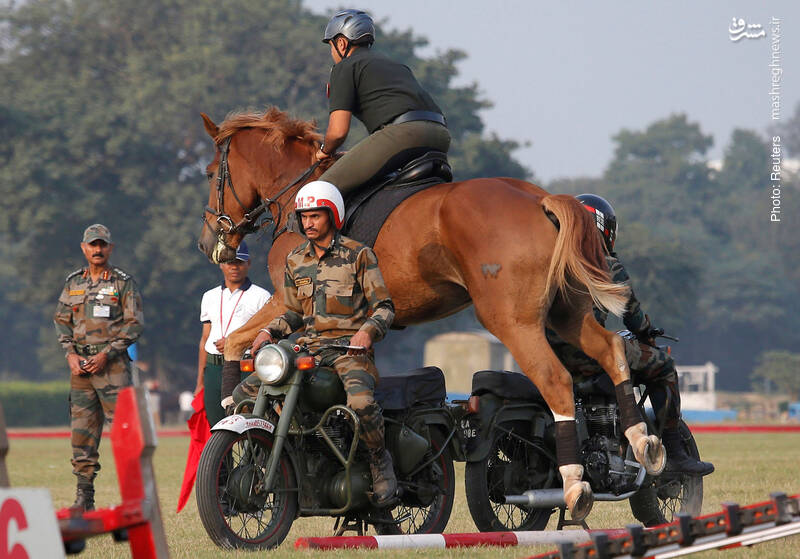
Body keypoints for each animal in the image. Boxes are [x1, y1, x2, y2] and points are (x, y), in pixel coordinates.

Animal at [197, 109, 664, 520]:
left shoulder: (289, 300)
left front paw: (233, 406)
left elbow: (234, 341)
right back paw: (644, 442)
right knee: (611, 350)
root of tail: (540, 199)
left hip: (511, 321)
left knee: (555, 380)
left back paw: (574, 483)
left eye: (209, 172)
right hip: (566, 313)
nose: (209, 242)